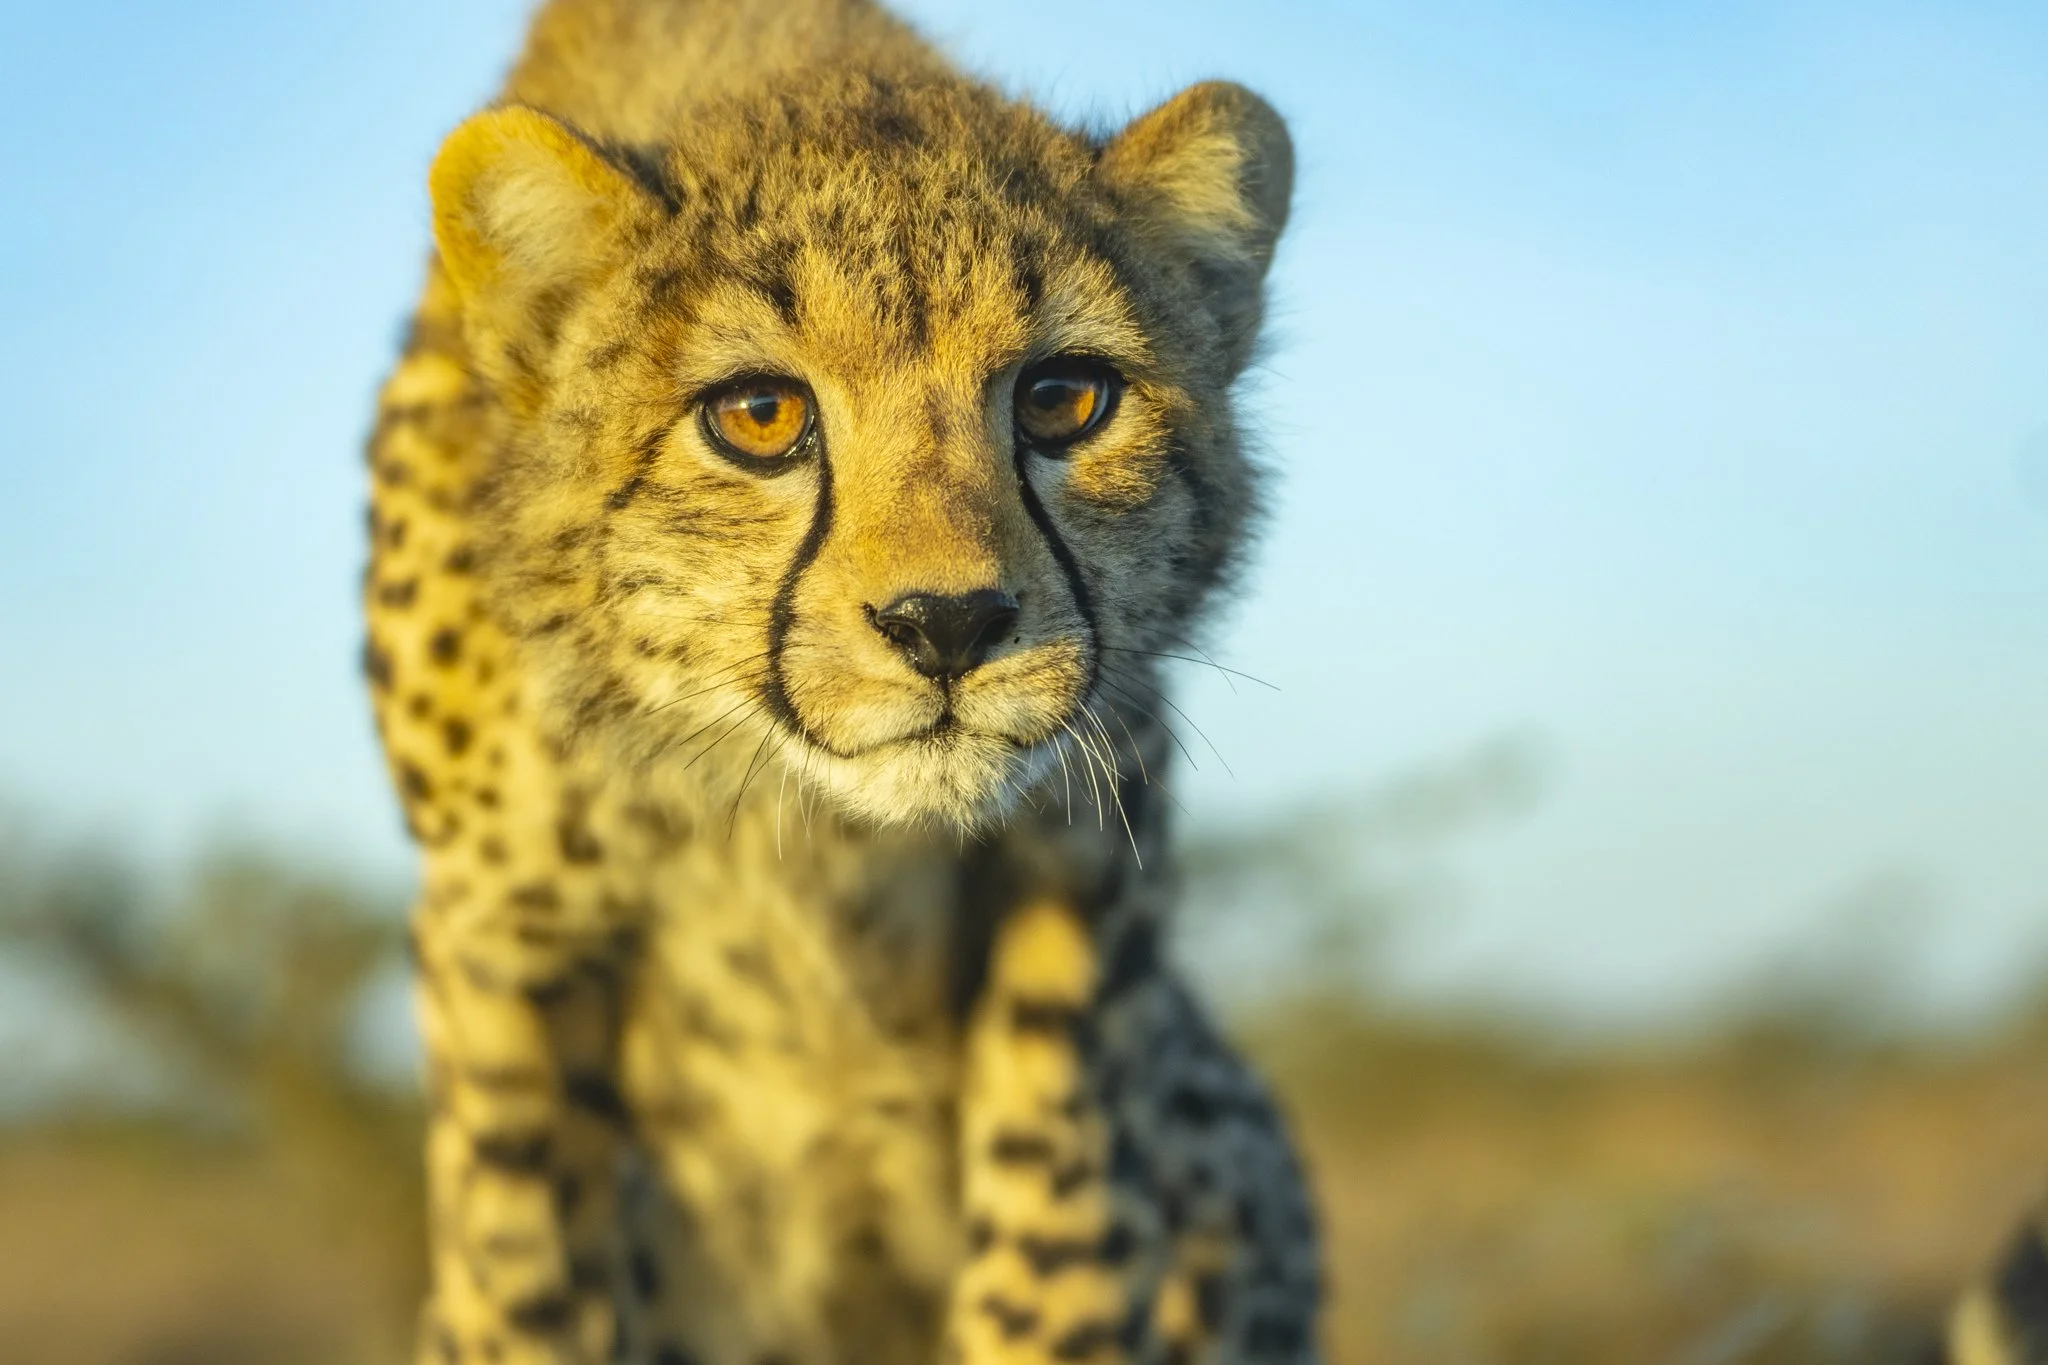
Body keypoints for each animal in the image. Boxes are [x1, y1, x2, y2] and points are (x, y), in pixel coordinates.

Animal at [361, 1, 1317, 1363]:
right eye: (758, 415)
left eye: (1063, 398)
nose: (948, 624)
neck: (792, 814)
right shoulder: (506, 922)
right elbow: (525, 1262)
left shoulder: (1090, 828)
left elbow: (1056, 1206)